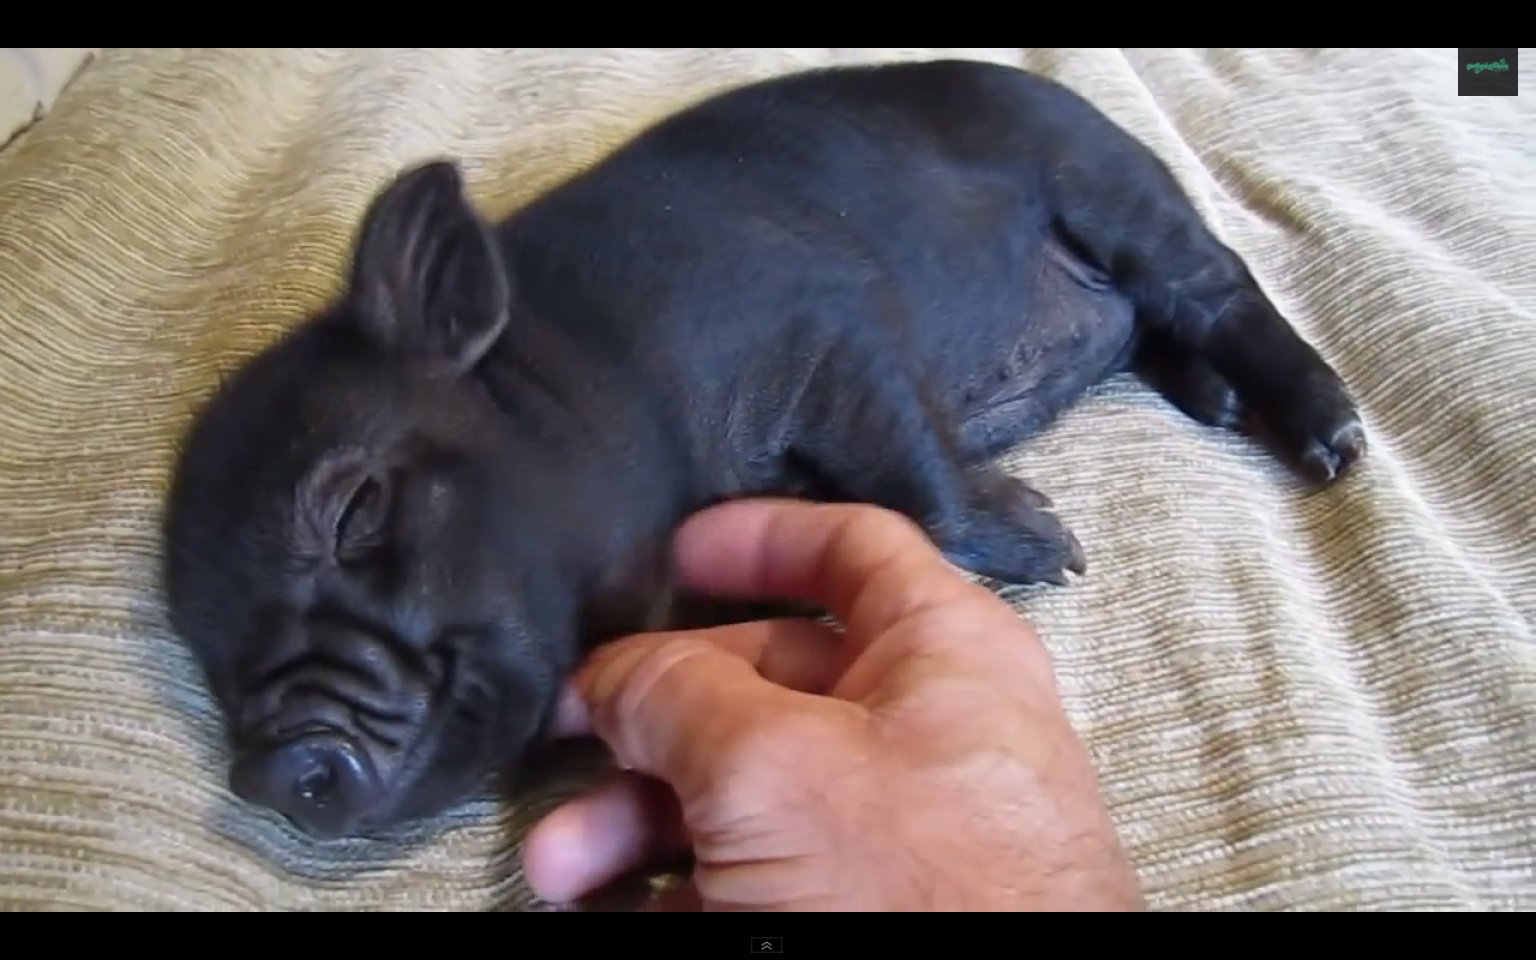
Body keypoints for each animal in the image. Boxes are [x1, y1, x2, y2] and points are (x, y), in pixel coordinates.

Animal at [161, 58, 1366, 841]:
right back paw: (1214, 402)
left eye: (353, 508)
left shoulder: (819, 324)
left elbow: (914, 480)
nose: (262, 769)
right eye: (207, 650)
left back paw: (1332, 443)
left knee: (1219, 288)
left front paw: (1055, 547)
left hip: (1109, 182)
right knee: (1165, 331)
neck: (596, 378)